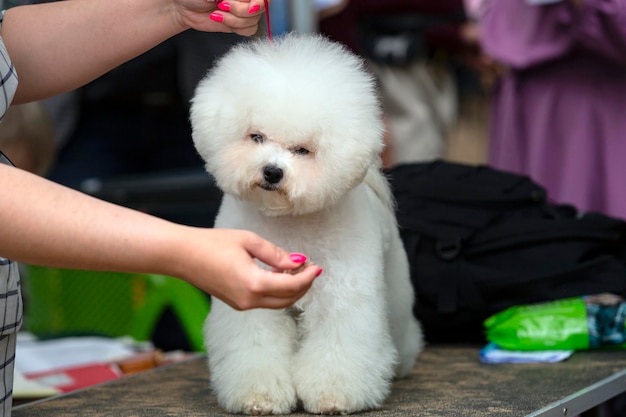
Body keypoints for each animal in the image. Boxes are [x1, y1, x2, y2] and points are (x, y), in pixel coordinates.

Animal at [190, 33, 422, 416]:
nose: (272, 172)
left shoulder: (342, 295)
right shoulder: (253, 297)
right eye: (256, 137)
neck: (289, 222)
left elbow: (338, 346)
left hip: (395, 281)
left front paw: (333, 396)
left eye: (303, 150)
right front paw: (260, 397)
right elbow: (256, 346)